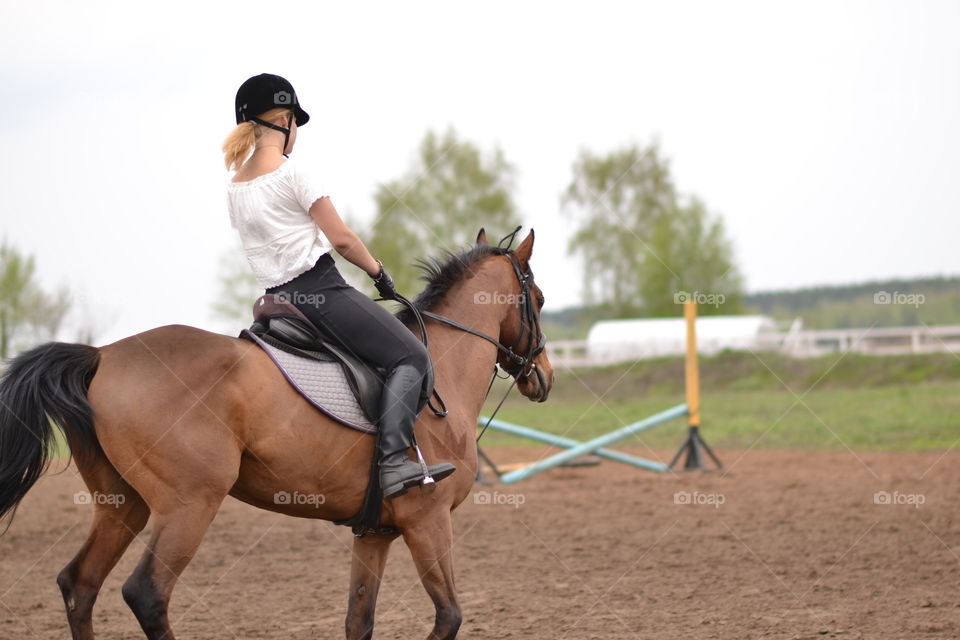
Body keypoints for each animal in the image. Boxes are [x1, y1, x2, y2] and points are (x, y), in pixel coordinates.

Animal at [0, 228, 553, 640]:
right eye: (540, 299)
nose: (544, 376)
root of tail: (101, 354)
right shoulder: (428, 520)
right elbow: (449, 617)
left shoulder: (375, 533)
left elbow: (359, 620)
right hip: (189, 504)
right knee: (147, 594)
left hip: (123, 504)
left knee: (80, 584)